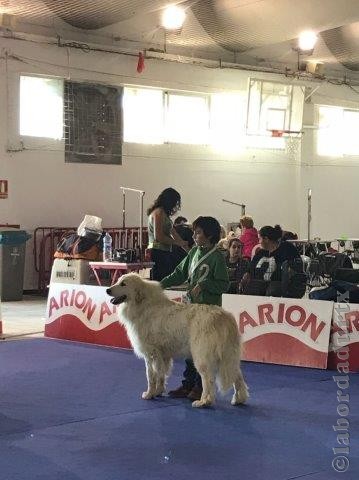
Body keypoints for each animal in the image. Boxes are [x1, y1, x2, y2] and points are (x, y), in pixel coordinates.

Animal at [106, 274, 248, 408]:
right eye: (118, 281)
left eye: (123, 284)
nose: (107, 290)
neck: (143, 304)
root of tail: (224, 316)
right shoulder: (163, 356)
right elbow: (161, 375)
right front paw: (158, 391)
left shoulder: (151, 354)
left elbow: (151, 376)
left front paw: (149, 394)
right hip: (229, 357)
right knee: (237, 376)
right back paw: (238, 399)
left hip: (202, 357)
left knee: (208, 380)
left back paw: (204, 401)